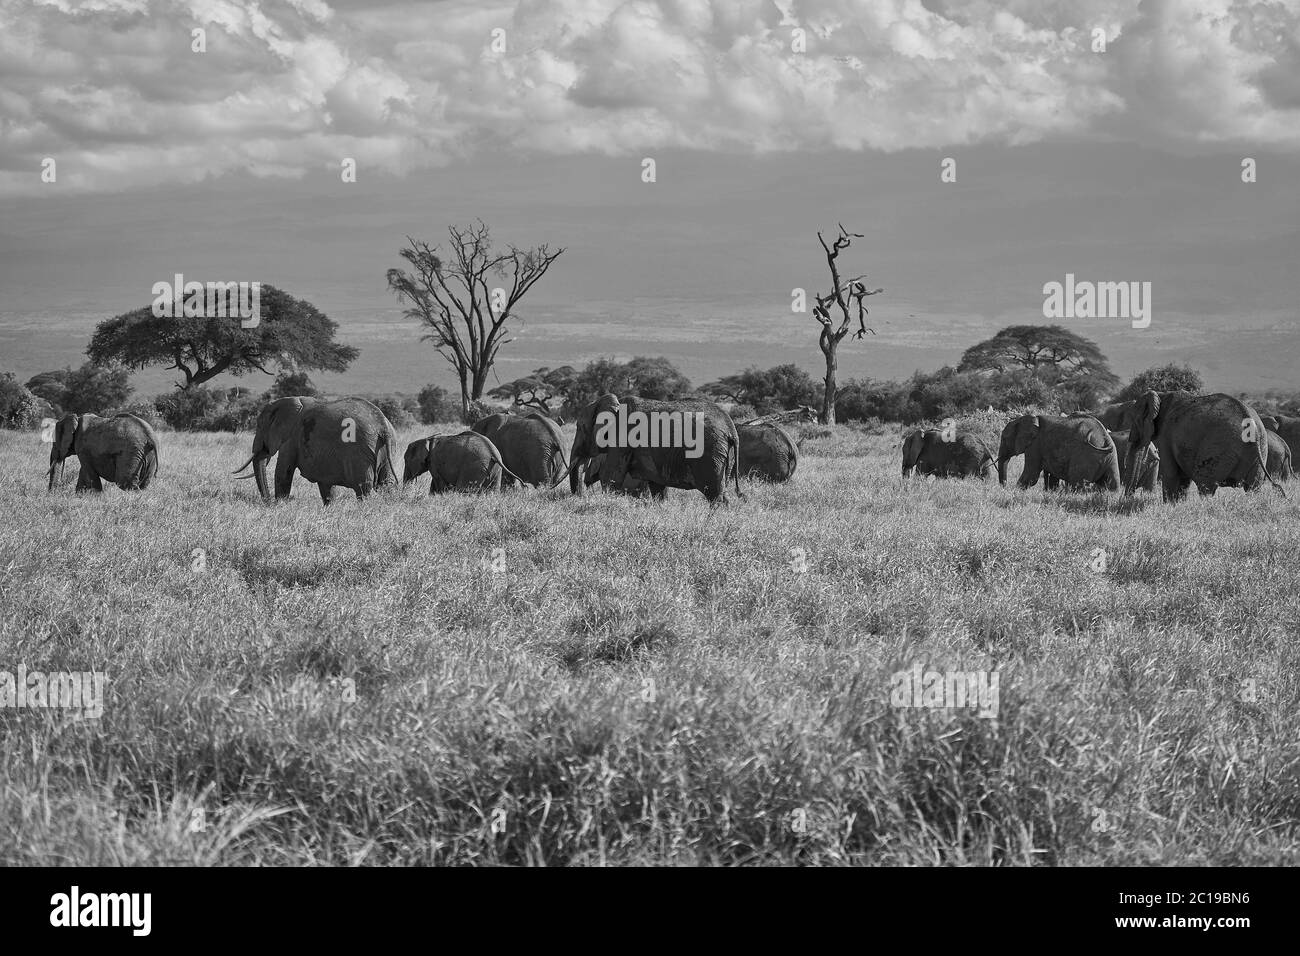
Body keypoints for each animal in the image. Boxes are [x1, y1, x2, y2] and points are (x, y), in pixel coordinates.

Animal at [233, 395, 395, 504]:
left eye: (260, 426)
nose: (267, 501)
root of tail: (382, 424)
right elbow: (326, 484)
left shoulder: (291, 438)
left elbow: (283, 472)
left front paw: (280, 505)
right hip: (386, 448)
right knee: (386, 484)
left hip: (360, 451)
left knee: (364, 487)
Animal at [569, 392, 743, 504]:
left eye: (580, 427)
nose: (579, 497)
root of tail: (731, 429)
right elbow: (657, 487)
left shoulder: (622, 436)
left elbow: (610, 477)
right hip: (725, 455)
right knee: (722, 492)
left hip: (710, 454)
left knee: (714, 493)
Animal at [1123, 390, 1284, 502]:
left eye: (1135, 420)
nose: (1127, 498)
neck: (1162, 395)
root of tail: (1251, 423)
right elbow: (1182, 478)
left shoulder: (1166, 435)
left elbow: (1172, 473)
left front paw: (1170, 506)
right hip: (1261, 448)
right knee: (1253, 487)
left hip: (1218, 447)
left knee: (1205, 485)